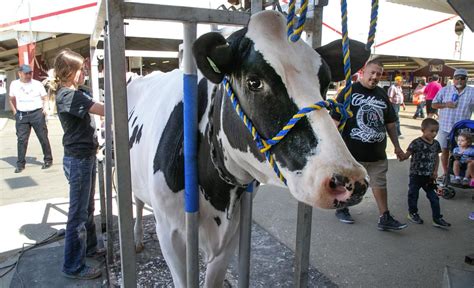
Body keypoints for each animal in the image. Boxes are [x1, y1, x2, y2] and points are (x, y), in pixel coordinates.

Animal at [129, 10, 370, 286]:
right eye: (254, 82)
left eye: (325, 82)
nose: (349, 179)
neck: (216, 190)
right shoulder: (171, 233)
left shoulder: (231, 234)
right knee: (136, 200)